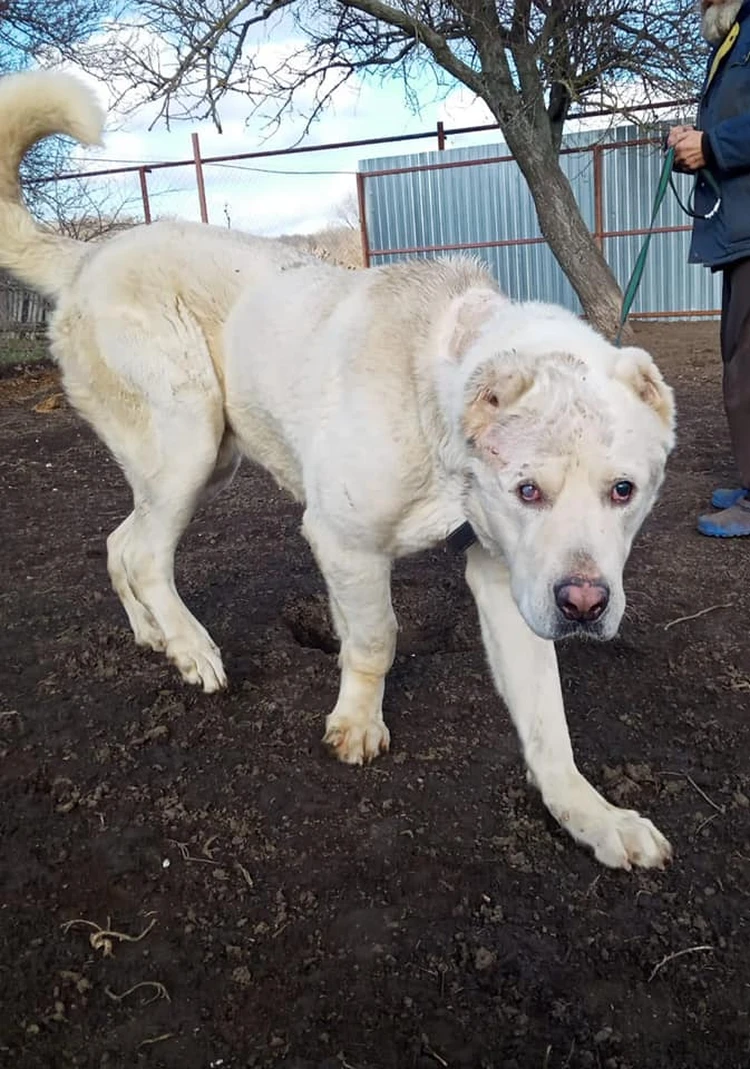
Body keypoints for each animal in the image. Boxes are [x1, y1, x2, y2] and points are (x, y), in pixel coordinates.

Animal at [0, 71, 679, 868]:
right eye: (527, 490)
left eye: (624, 491)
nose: (584, 605)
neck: (440, 400)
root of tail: (87, 256)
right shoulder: (346, 542)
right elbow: (377, 637)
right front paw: (357, 721)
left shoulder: (504, 576)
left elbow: (550, 727)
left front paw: (593, 817)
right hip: (189, 439)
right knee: (142, 552)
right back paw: (194, 650)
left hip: (201, 456)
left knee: (118, 544)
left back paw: (155, 636)